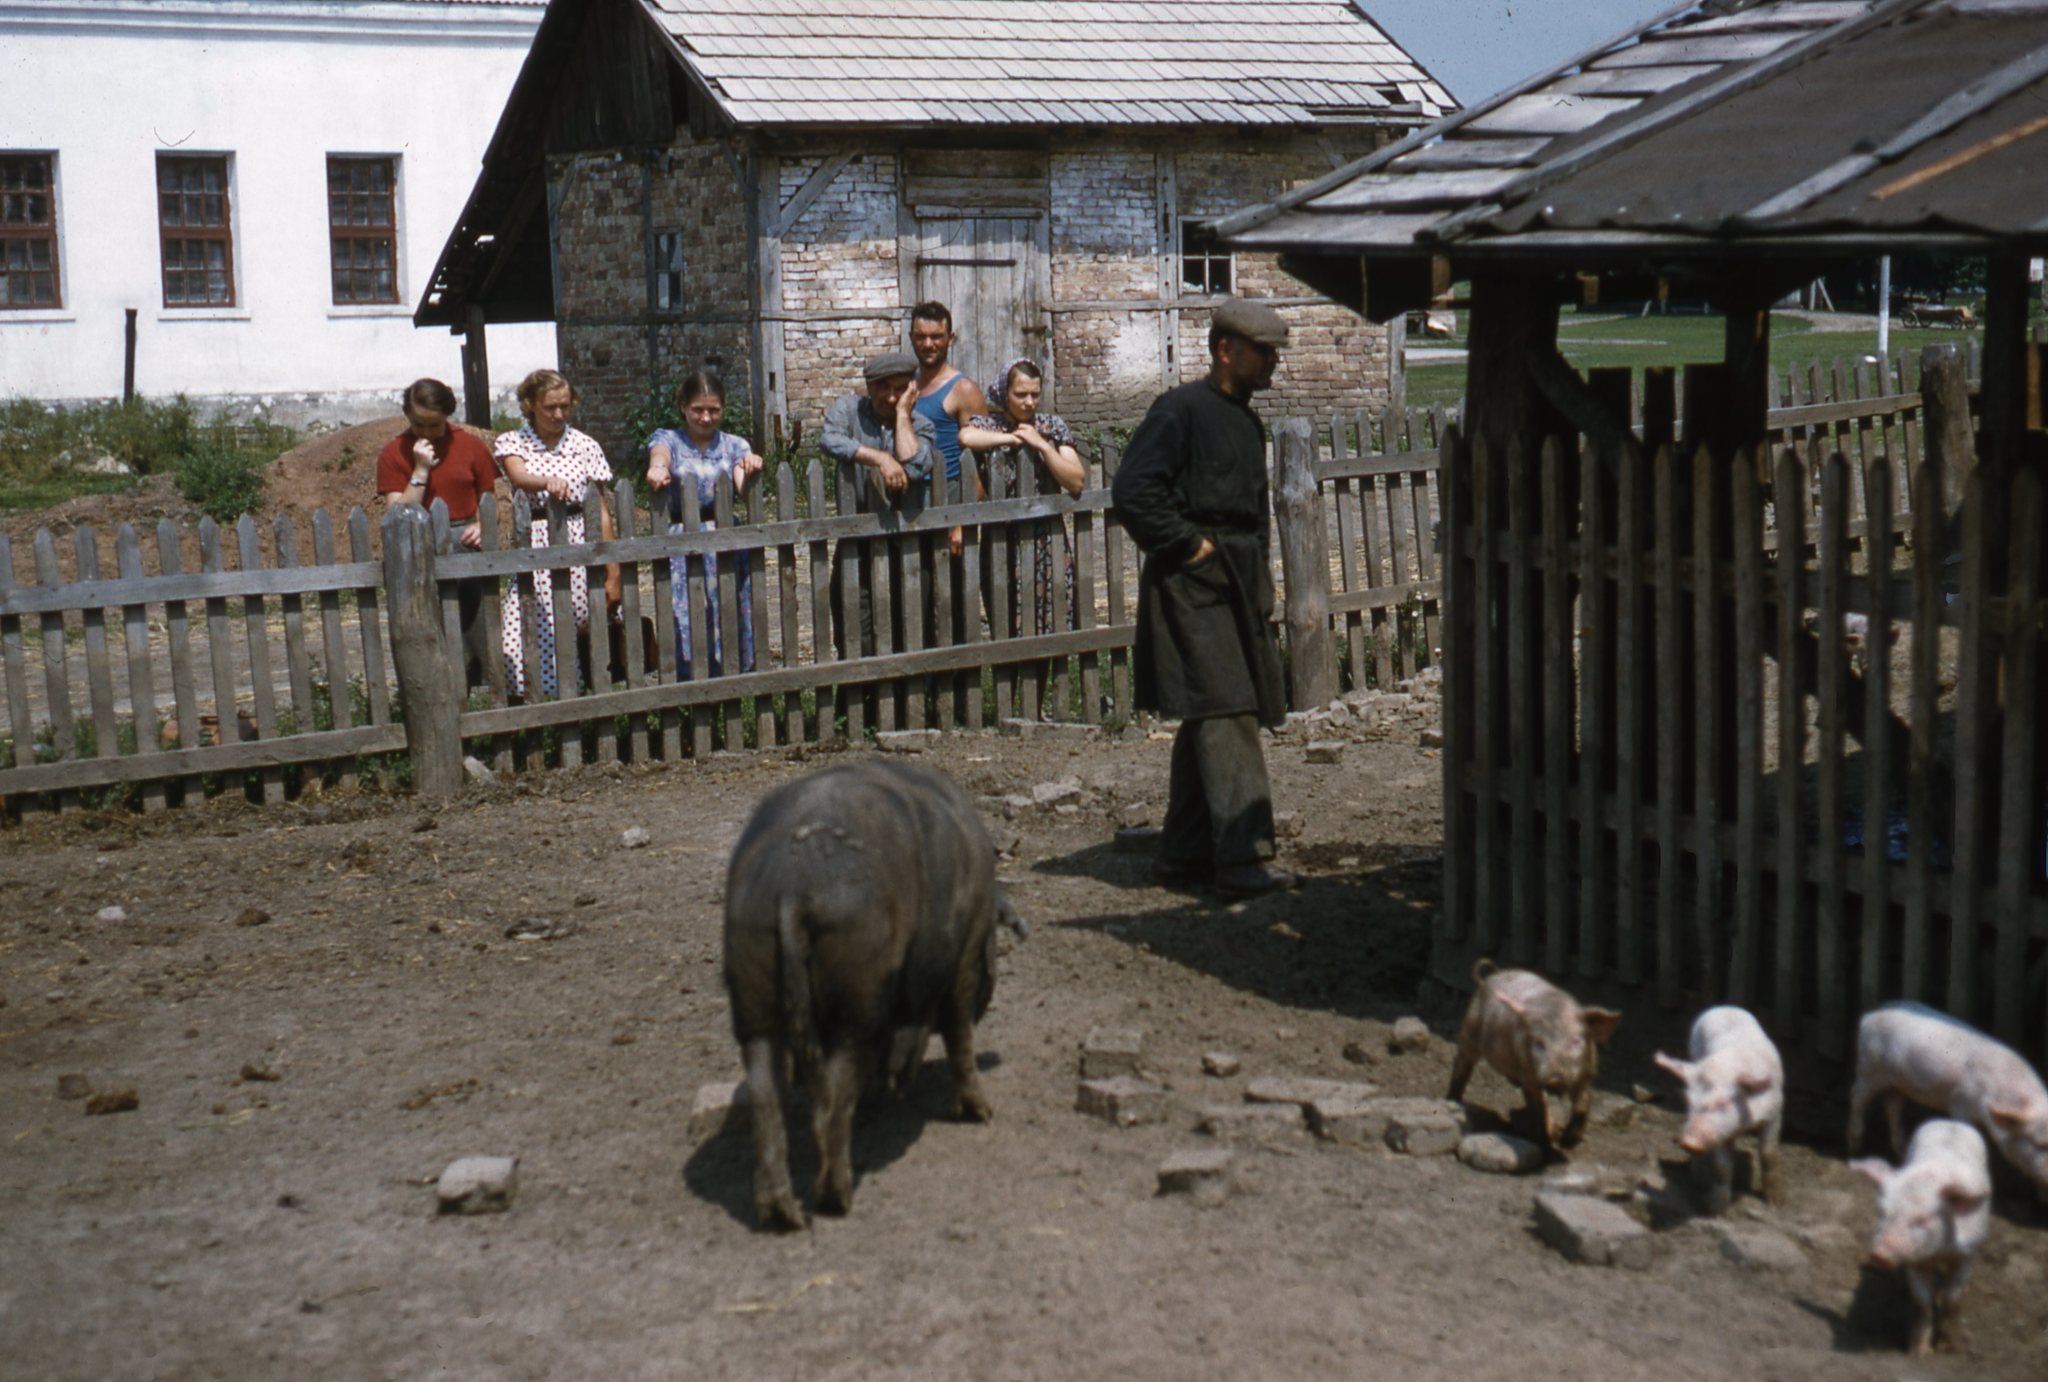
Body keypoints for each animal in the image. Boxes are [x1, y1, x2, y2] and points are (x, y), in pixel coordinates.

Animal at [720, 761, 1024, 1228]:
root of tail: (792, 884)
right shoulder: (963, 961)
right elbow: (958, 1036)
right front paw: (981, 1113)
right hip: (858, 988)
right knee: (832, 1100)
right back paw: (837, 1201)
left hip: (751, 980)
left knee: (766, 1095)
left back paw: (783, 1216)